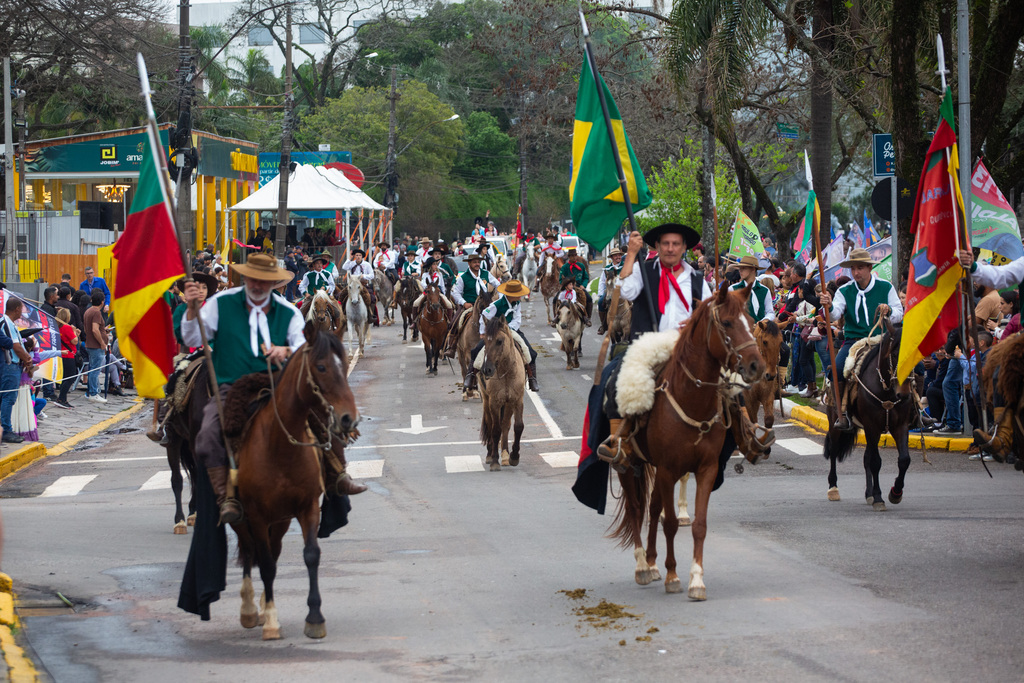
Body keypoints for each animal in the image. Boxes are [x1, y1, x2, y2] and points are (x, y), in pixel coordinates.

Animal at [232, 321, 360, 643]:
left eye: (343, 365)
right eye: (321, 366)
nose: (348, 419)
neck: (279, 445)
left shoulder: (306, 507)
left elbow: (310, 555)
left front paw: (314, 618)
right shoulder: (256, 514)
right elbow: (264, 564)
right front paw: (271, 622)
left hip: (280, 520)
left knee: (272, 552)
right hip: (244, 518)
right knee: (249, 550)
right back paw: (251, 609)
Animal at [479, 315, 528, 471]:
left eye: (499, 341)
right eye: (485, 341)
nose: (486, 370)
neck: (506, 373)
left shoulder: (517, 400)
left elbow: (518, 426)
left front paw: (514, 457)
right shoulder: (494, 402)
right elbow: (495, 430)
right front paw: (495, 461)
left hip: (508, 404)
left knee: (505, 424)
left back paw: (506, 455)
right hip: (486, 401)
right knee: (491, 425)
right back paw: (490, 455)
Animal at [610, 286, 765, 602]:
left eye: (750, 320)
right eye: (727, 323)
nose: (757, 366)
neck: (691, 399)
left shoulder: (705, 469)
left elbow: (698, 525)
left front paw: (696, 580)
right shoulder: (669, 469)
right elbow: (669, 523)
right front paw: (673, 576)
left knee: (653, 507)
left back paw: (653, 563)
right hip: (628, 464)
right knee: (636, 508)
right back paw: (643, 566)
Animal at [819, 321, 917, 511]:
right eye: (895, 353)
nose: (903, 393)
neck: (887, 389)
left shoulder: (900, 426)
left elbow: (904, 460)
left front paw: (895, 493)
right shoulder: (872, 426)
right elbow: (876, 462)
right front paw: (879, 497)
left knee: (866, 457)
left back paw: (868, 493)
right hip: (836, 424)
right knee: (834, 451)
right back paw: (833, 488)